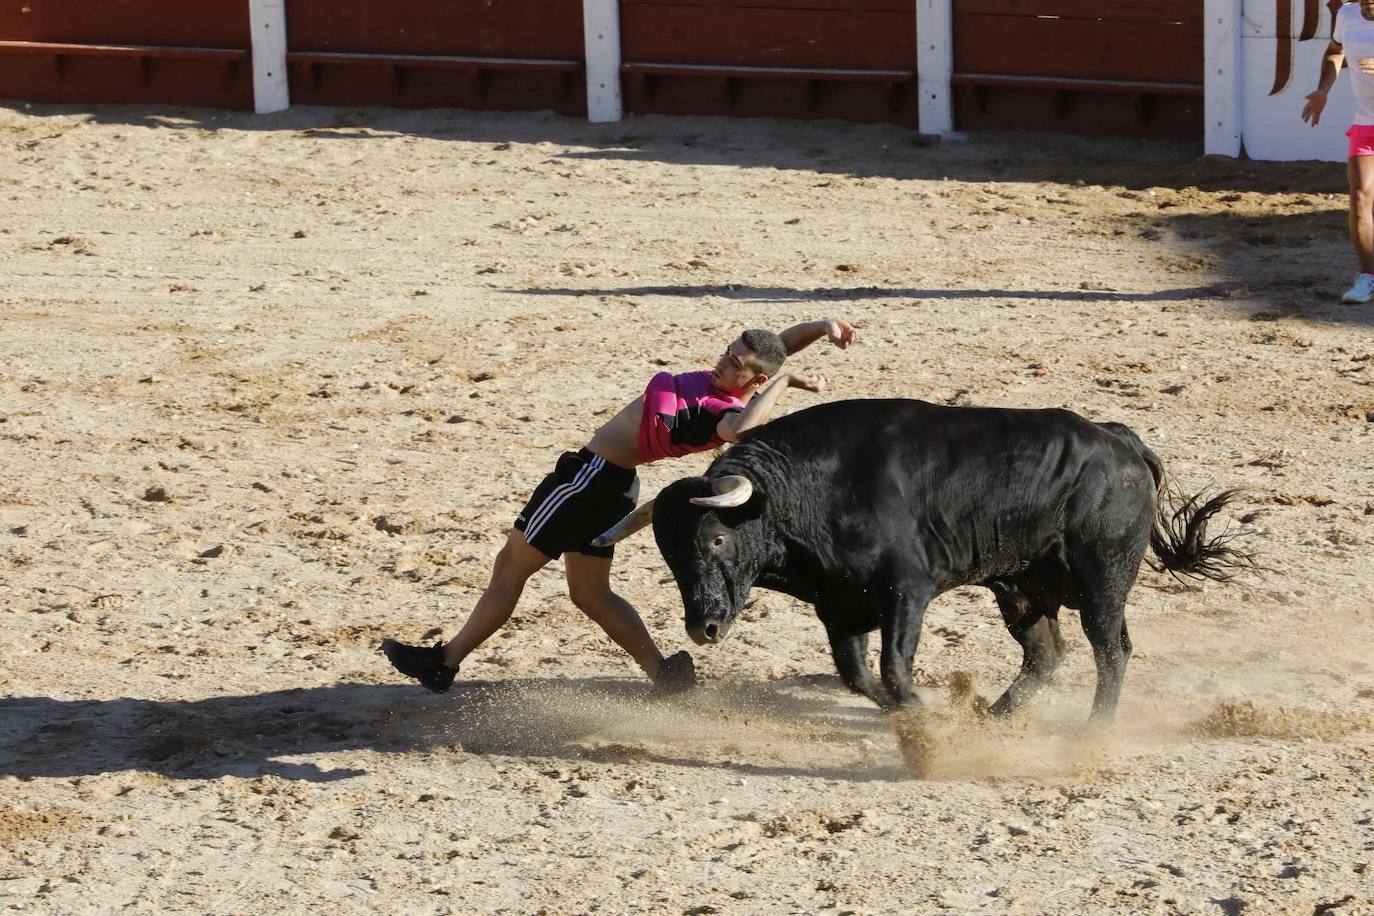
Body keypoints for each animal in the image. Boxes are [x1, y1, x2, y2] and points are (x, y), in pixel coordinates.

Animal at [596, 401, 1253, 725]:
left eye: (714, 542)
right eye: (668, 556)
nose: (702, 628)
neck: (805, 493)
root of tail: (1119, 441)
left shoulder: (906, 589)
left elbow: (892, 668)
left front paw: (923, 710)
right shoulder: (841, 608)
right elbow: (859, 677)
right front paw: (920, 714)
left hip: (1102, 581)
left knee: (1111, 651)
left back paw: (1097, 728)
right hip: (1020, 587)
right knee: (1045, 653)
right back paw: (991, 716)